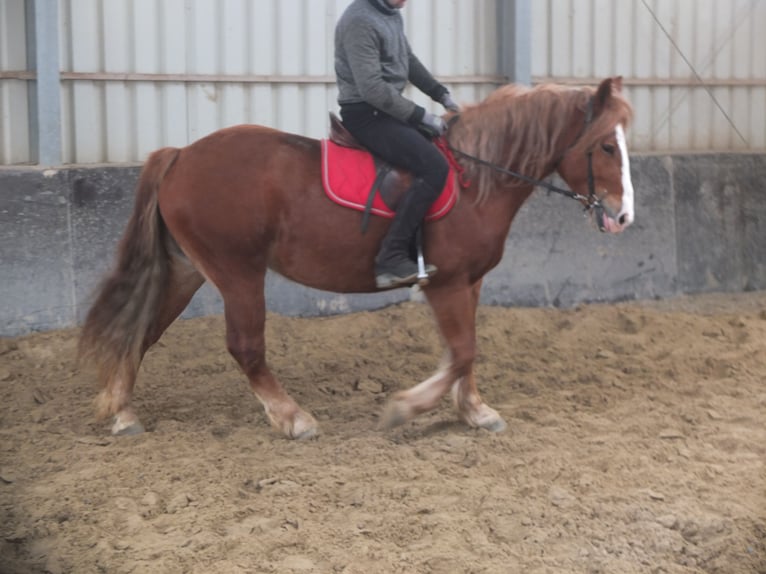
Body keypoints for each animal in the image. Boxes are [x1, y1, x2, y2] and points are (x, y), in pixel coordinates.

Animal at [81, 75, 640, 436]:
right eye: (606, 147)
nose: (623, 217)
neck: (477, 177)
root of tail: (180, 155)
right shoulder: (445, 282)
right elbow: (462, 351)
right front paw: (406, 408)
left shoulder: (470, 281)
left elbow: (466, 353)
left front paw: (475, 411)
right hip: (237, 271)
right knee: (245, 347)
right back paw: (293, 418)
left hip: (186, 269)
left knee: (139, 332)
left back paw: (122, 411)